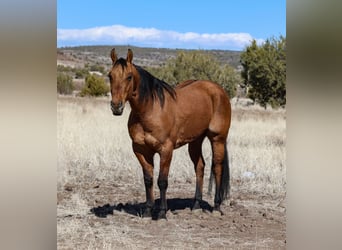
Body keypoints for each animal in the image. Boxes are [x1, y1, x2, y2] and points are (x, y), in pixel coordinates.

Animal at [109, 48, 232, 219]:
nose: (116, 106)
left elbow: (162, 181)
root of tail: (218, 90)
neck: (150, 110)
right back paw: (196, 205)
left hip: (218, 139)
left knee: (217, 168)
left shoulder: (166, 150)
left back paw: (216, 207)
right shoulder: (141, 150)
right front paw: (148, 211)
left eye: (129, 76)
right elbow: (148, 180)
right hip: (195, 141)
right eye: (110, 76)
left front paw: (161, 213)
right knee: (200, 167)